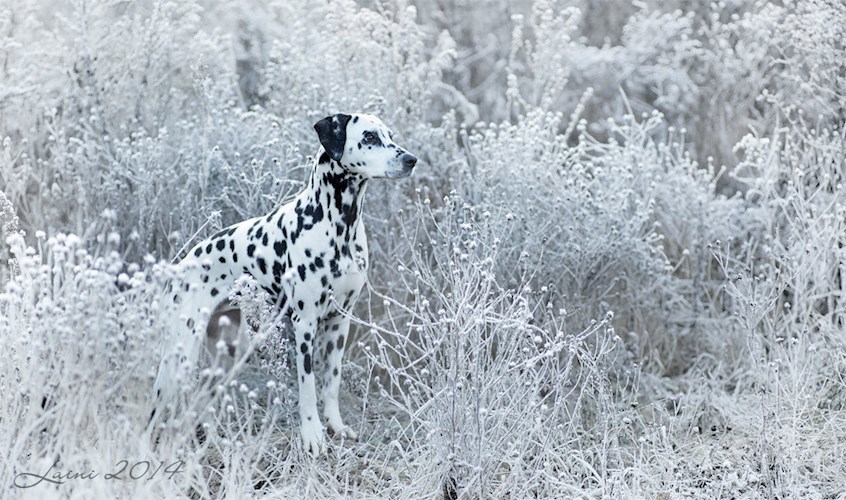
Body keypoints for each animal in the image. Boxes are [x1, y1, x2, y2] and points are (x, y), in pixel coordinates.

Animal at [154, 114, 420, 458]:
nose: (411, 160)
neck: (339, 227)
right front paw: (313, 436)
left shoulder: (340, 322)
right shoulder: (304, 324)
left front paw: (336, 427)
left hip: (228, 354)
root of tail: (182, 264)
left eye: (390, 135)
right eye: (370, 136)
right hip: (180, 355)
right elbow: (308, 388)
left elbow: (331, 383)